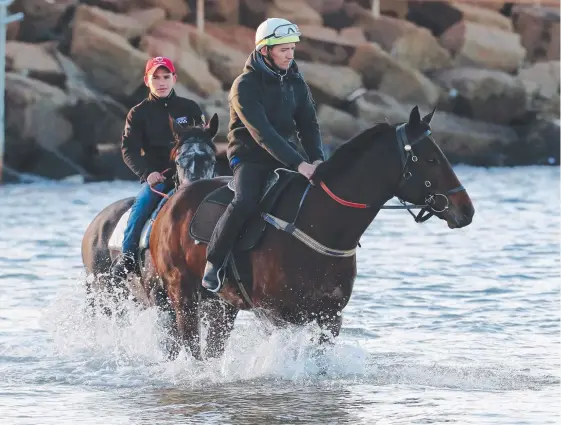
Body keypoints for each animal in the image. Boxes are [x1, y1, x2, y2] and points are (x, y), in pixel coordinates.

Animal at [140, 105, 472, 358]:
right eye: (431, 159)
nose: (466, 210)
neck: (321, 223)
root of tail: (170, 202)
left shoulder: (330, 317)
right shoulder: (275, 316)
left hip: (220, 305)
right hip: (181, 293)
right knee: (189, 346)